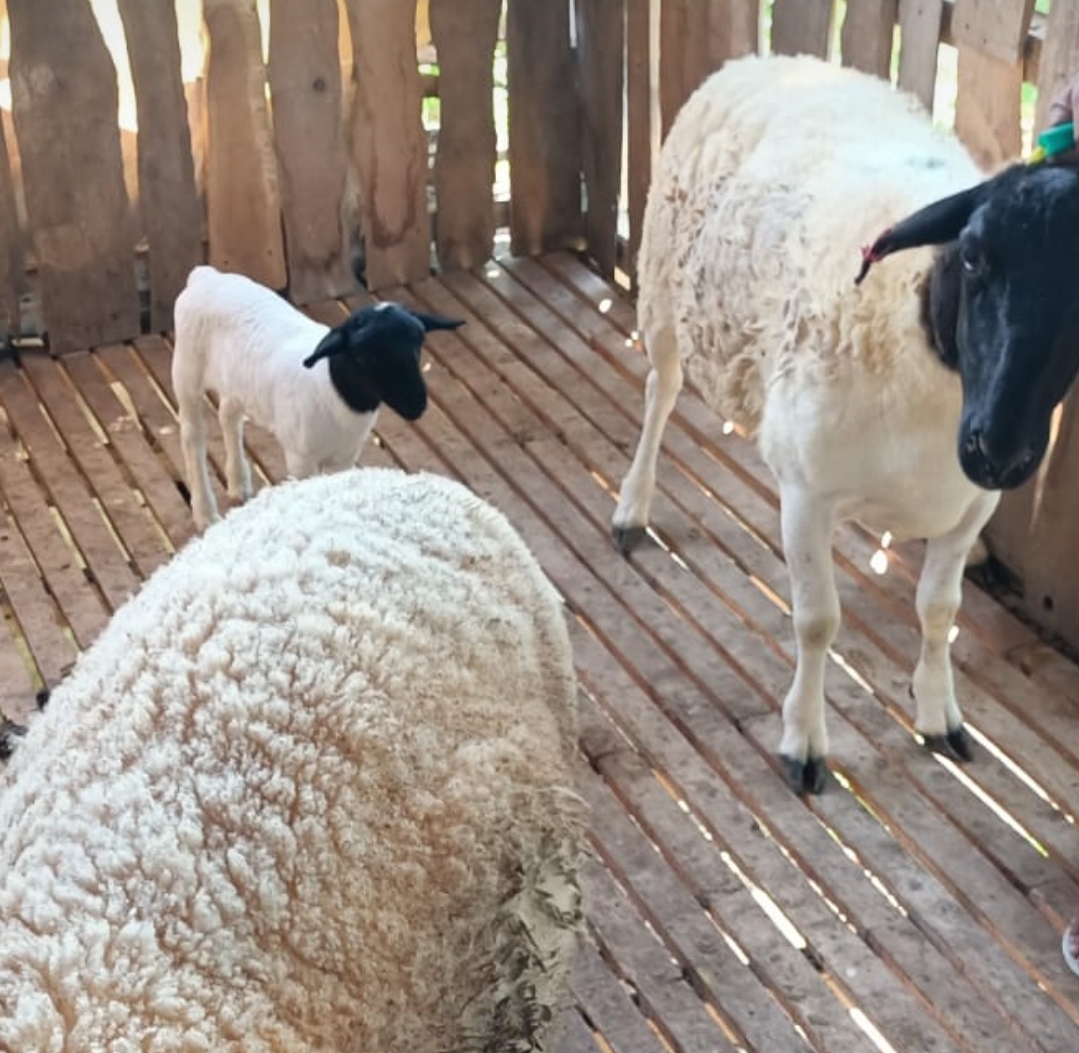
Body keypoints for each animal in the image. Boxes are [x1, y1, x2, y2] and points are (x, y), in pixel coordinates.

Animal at [172, 265, 464, 529]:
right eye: (365, 356)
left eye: (418, 345)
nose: (417, 404)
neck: (335, 393)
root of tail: (205, 277)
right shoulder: (301, 460)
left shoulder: (346, 458)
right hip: (186, 371)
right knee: (192, 437)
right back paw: (205, 512)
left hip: (237, 381)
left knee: (229, 416)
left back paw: (238, 484)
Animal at [612, 53, 1079, 795]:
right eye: (972, 254)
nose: (998, 448)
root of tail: (769, 60)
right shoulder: (809, 495)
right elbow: (816, 622)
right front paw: (803, 740)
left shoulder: (973, 505)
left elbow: (940, 609)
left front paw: (938, 712)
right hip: (660, 289)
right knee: (660, 393)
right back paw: (632, 505)